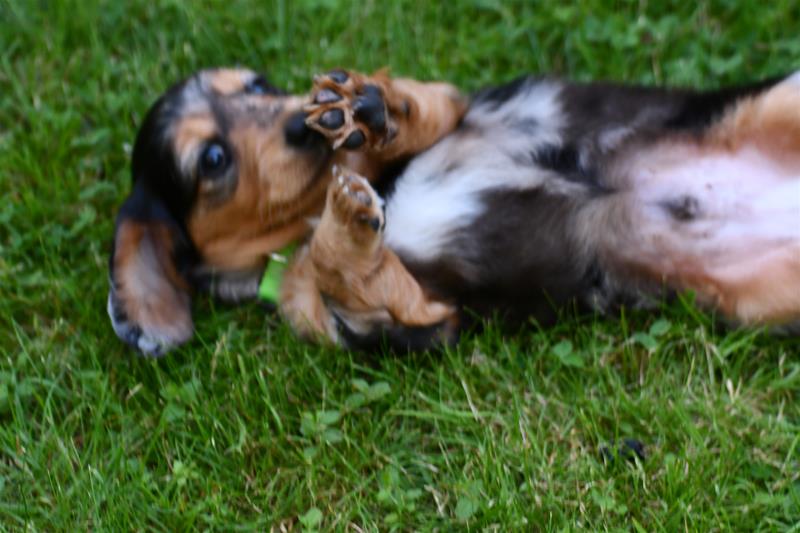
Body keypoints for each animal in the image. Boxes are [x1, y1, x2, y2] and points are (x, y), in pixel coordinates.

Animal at [108, 67, 800, 355]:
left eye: (255, 84)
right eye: (213, 158)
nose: (303, 121)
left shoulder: (455, 103)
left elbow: (427, 104)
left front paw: (373, 107)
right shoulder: (419, 320)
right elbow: (346, 274)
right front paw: (347, 222)